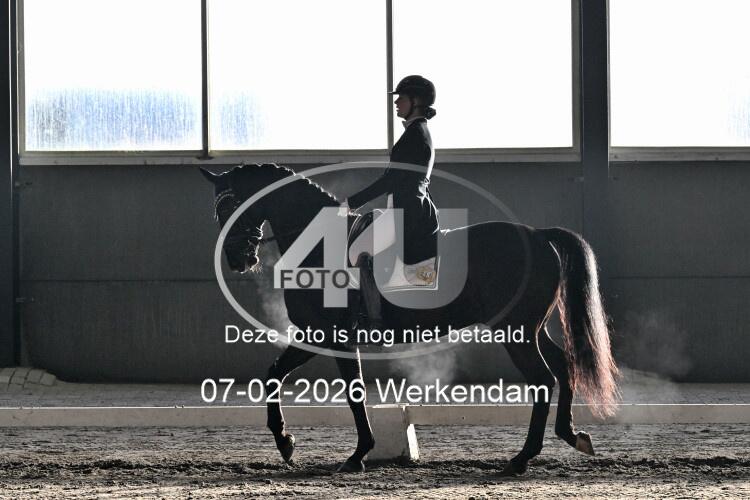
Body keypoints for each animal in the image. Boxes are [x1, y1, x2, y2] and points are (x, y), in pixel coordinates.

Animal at [200, 162, 619, 476]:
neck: (318, 244)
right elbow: (274, 373)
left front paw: (356, 455)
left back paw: (521, 459)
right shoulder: (320, 335)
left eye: (230, 205)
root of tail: (538, 235)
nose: (237, 259)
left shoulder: (330, 335)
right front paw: (287, 444)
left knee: (543, 380)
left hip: (515, 331)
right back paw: (571, 435)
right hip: (531, 328)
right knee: (563, 366)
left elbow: (350, 393)